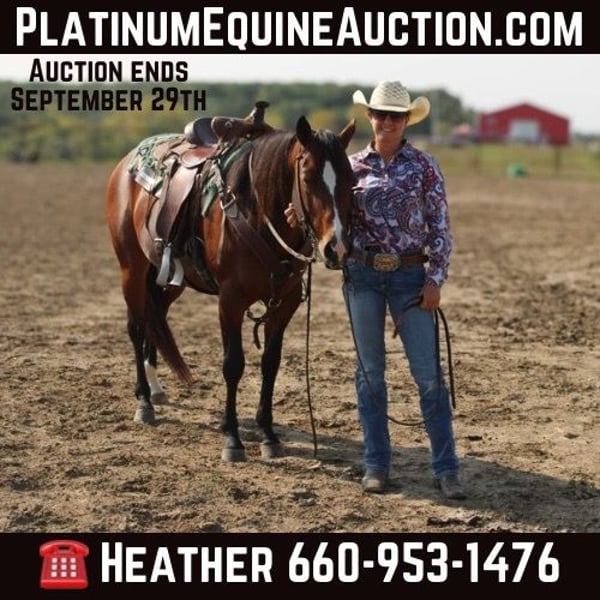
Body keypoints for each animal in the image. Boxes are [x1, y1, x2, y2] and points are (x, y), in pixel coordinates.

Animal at [105, 108, 356, 462]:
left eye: (351, 180)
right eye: (307, 177)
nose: (337, 248)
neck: (255, 211)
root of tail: (126, 163)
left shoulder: (286, 302)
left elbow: (270, 364)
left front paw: (268, 435)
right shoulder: (231, 301)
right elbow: (233, 365)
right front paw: (233, 438)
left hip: (170, 278)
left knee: (157, 318)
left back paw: (155, 389)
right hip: (131, 268)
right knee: (137, 326)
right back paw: (143, 400)